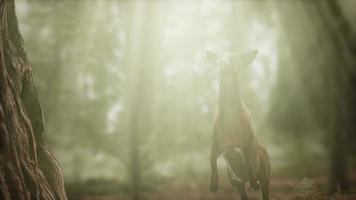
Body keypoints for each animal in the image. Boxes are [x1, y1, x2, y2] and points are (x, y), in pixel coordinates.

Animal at [207, 50, 272, 200]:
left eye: (234, 58)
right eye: (219, 57)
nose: (224, 63)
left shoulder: (248, 140)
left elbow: (248, 159)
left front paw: (254, 183)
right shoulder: (217, 142)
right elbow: (211, 157)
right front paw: (213, 185)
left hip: (266, 174)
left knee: (265, 192)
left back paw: (254, 183)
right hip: (238, 184)